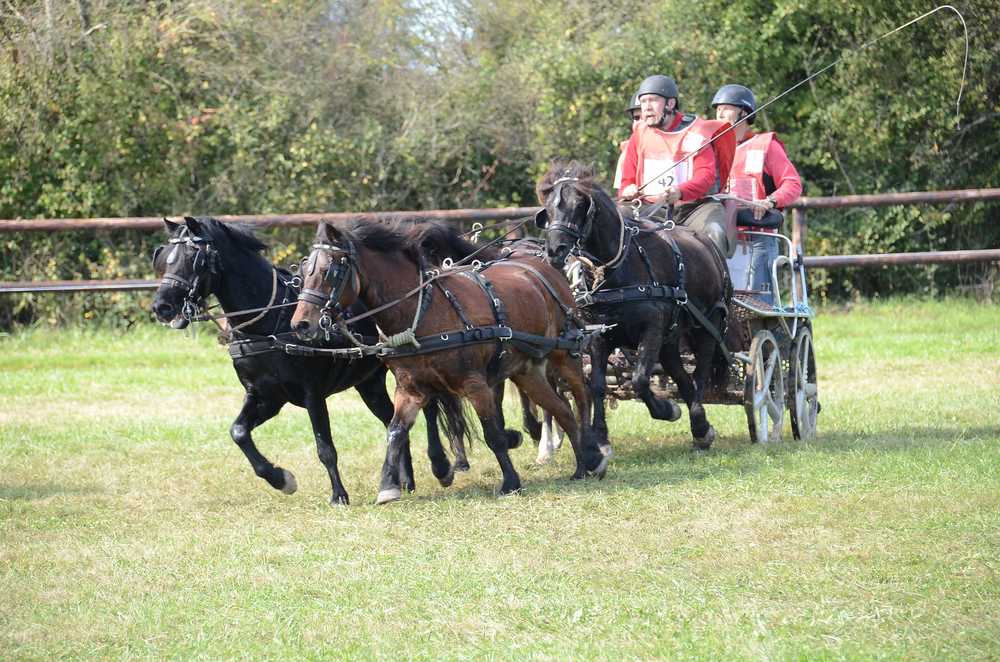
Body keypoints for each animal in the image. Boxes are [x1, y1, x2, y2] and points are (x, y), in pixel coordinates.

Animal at [150, 216, 468, 506]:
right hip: (370, 384)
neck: (271, 322)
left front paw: (338, 496)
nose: (161, 307)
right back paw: (405, 481)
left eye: (193, 258)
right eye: (164, 258)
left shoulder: (312, 394)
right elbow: (238, 432)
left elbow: (324, 447)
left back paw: (441, 467)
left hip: (411, 370)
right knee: (393, 419)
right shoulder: (265, 397)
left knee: (428, 409)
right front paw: (282, 480)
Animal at [290, 219, 609, 503]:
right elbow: (395, 431)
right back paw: (581, 467)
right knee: (562, 410)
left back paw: (594, 453)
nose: (301, 324)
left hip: (564, 354)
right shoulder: (410, 389)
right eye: (304, 271)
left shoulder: (475, 384)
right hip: (526, 372)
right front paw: (388, 487)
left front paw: (510, 482)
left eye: (328, 271)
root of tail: (545, 268)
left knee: (581, 396)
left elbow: (493, 433)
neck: (422, 312)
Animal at [535, 162, 731, 448]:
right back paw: (699, 425)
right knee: (683, 377)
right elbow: (597, 385)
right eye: (548, 209)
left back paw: (700, 426)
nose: (554, 251)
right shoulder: (599, 336)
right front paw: (601, 436)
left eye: (579, 206)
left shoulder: (651, 329)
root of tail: (709, 245)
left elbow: (639, 380)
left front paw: (667, 410)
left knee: (701, 372)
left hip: (707, 325)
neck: (616, 269)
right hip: (670, 339)